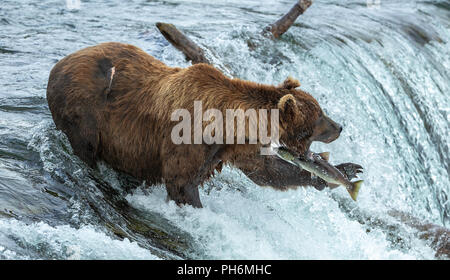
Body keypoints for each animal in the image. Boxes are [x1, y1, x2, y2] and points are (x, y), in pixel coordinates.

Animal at [46, 42, 362, 208]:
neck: (227, 124)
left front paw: (342, 172)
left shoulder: (237, 147)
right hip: (84, 111)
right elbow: (181, 182)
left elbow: (268, 171)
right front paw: (196, 209)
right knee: (86, 147)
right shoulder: (188, 138)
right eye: (319, 117)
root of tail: (58, 64)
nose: (340, 126)